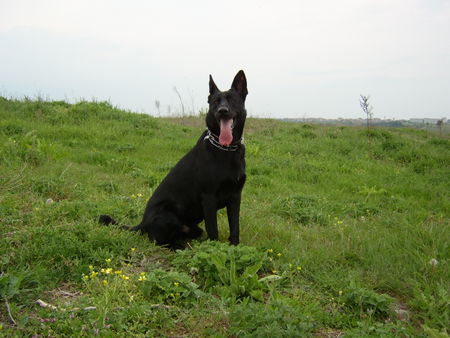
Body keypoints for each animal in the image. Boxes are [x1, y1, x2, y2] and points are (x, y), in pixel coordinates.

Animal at [99, 69, 250, 248]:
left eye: (232, 100)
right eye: (215, 102)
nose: (222, 110)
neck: (226, 149)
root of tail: (142, 224)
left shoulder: (235, 197)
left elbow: (235, 227)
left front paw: (235, 247)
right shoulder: (209, 198)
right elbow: (213, 230)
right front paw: (214, 248)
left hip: (194, 227)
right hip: (169, 213)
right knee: (160, 241)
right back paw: (180, 247)